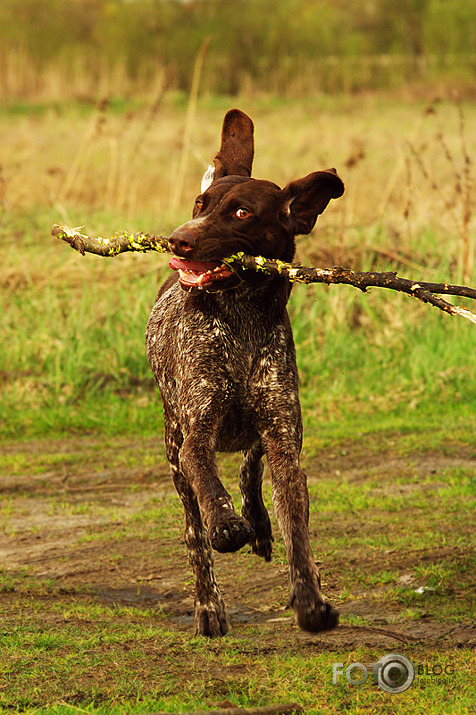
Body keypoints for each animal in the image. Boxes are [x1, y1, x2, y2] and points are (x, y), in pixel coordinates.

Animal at [147, 110, 344, 636]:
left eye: (241, 214)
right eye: (201, 203)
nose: (179, 239)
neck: (242, 320)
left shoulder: (284, 440)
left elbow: (298, 529)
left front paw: (310, 599)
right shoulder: (195, 434)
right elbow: (208, 486)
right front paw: (227, 524)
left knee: (250, 466)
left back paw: (257, 519)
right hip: (174, 454)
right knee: (195, 537)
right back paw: (208, 605)